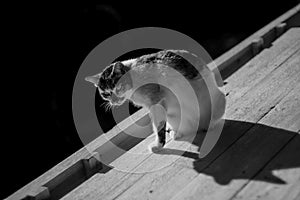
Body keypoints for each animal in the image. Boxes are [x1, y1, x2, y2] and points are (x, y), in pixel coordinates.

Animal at [85, 49, 225, 154]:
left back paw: (210, 124)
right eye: (106, 94)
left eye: (118, 88)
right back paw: (177, 133)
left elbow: (158, 127)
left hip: (219, 99)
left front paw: (158, 145)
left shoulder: (156, 103)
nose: (114, 101)